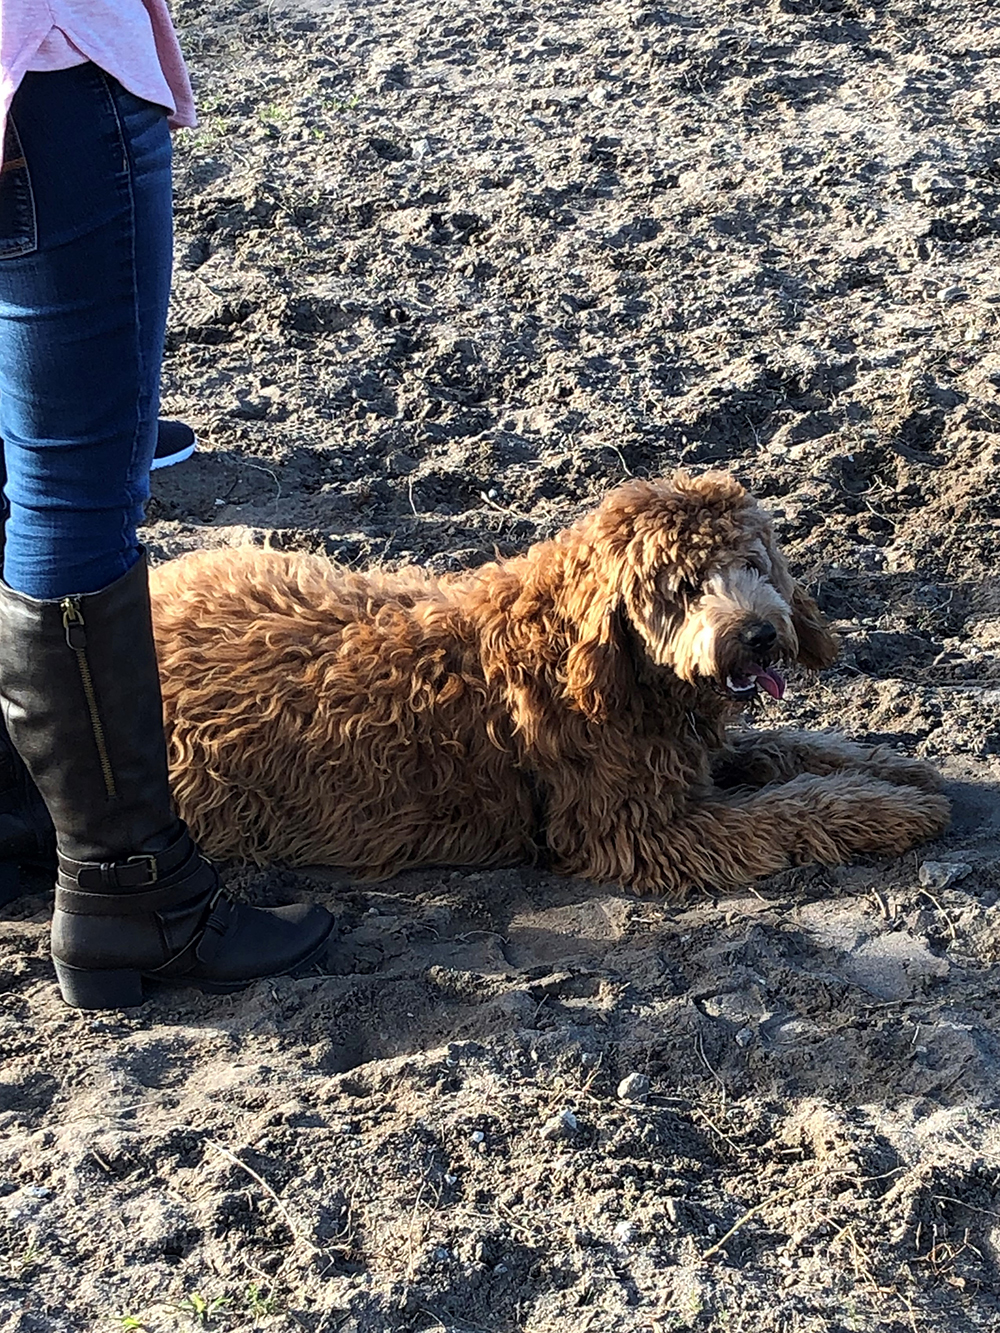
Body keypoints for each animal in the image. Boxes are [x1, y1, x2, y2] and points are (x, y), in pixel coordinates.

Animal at [150, 469, 954, 895]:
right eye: (685, 586)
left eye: (754, 564)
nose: (759, 634)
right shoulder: (644, 830)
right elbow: (789, 811)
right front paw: (888, 809)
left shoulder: (690, 752)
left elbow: (792, 750)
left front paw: (897, 770)